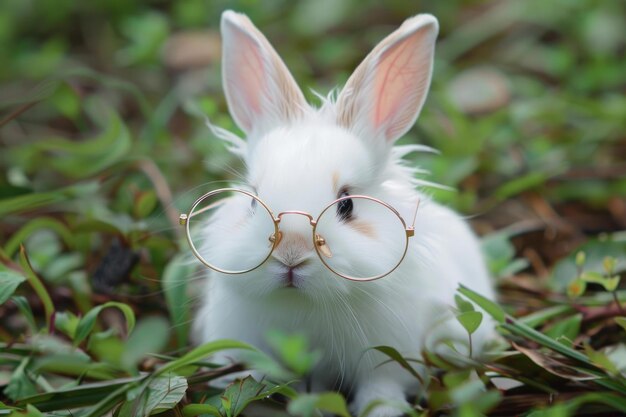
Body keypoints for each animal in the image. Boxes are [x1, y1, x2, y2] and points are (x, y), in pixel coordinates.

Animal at [193, 10, 494, 416]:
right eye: (254, 201)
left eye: (347, 204)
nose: (291, 255)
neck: (305, 306)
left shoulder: (388, 354)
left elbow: (379, 387)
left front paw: (383, 410)